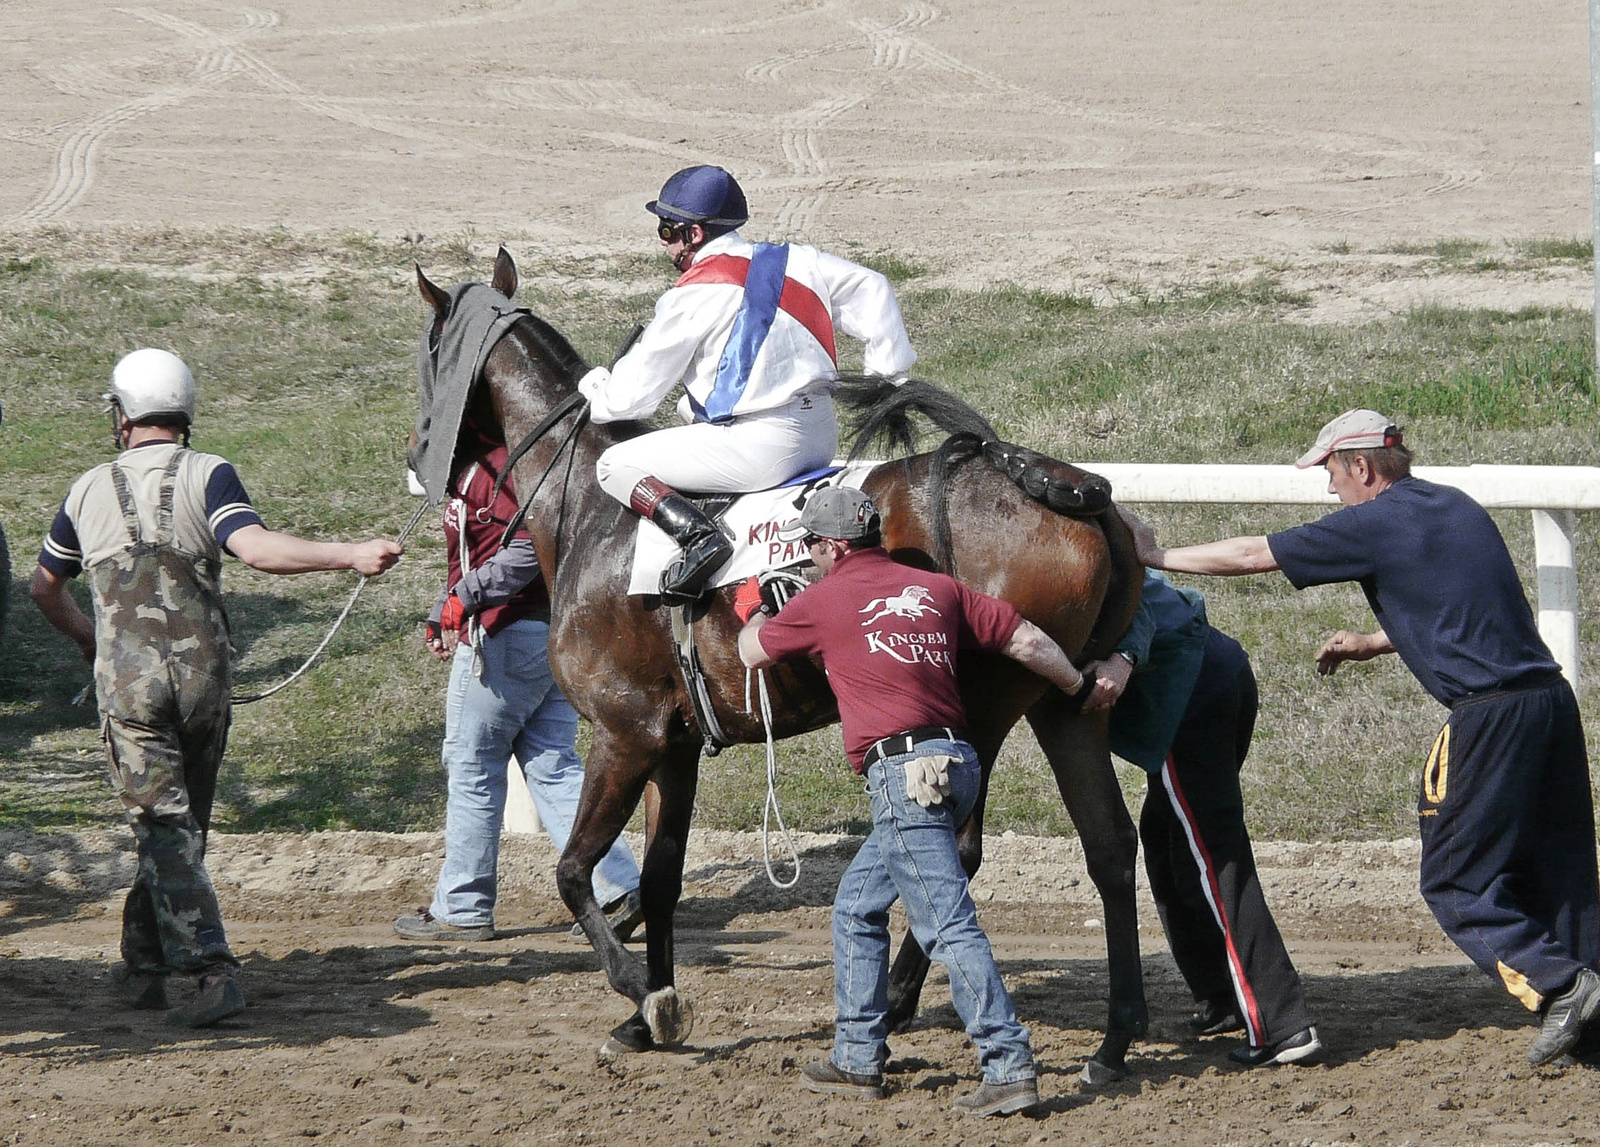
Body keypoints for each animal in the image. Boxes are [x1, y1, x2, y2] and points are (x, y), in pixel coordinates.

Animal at [412, 251, 1152, 1081]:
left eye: (428, 354)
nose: (418, 456)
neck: (592, 516)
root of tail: (1063, 486)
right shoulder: (672, 745)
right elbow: (660, 877)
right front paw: (644, 1011)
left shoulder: (623, 732)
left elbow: (573, 869)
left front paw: (642, 993)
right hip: (1068, 703)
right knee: (1110, 846)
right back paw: (1114, 1039)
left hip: (984, 704)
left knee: (961, 847)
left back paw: (900, 1002)